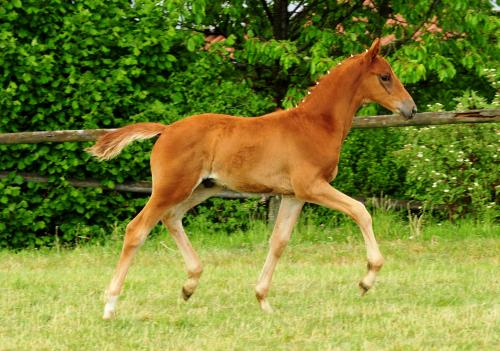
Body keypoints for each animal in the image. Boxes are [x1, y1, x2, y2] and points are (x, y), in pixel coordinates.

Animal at [88, 37, 416, 320]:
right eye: (385, 76)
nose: (411, 109)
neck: (315, 124)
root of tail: (166, 129)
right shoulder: (312, 186)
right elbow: (360, 210)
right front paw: (367, 279)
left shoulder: (293, 195)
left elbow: (279, 241)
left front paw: (262, 299)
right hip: (171, 188)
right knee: (137, 229)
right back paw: (110, 305)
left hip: (202, 188)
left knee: (171, 218)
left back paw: (189, 285)